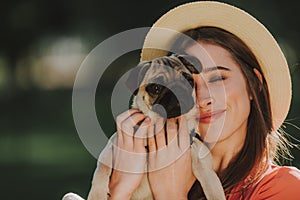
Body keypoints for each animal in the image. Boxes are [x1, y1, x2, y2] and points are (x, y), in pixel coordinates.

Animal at [62, 54, 225, 199]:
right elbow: (101, 170)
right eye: (156, 88)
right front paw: (97, 195)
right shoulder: (110, 150)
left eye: (189, 80)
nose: (177, 89)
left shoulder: (203, 163)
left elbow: (213, 189)